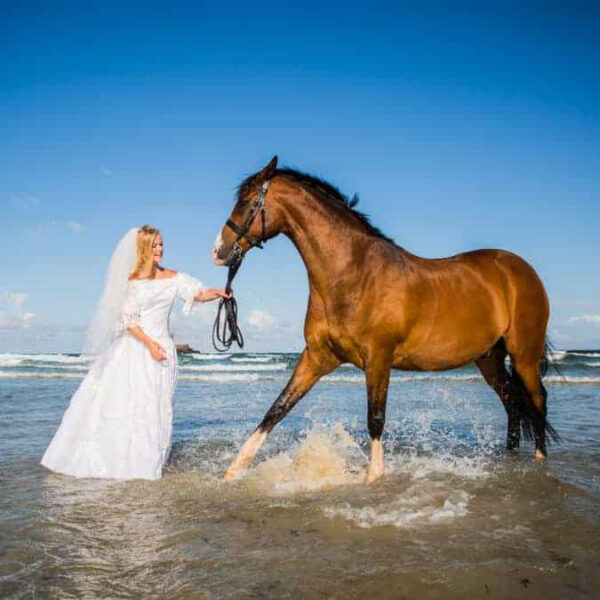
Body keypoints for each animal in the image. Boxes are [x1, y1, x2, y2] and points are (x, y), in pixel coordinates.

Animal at [212, 156, 556, 482]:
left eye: (246, 202)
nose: (219, 251)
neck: (353, 274)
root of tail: (519, 269)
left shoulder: (378, 358)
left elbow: (375, 418)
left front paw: (373, 476)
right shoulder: (317, 357)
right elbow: (277, 409)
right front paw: (233, 471)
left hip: (524, 355)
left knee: (537, 399)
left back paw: (540, 459)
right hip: (489, 359)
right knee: (512, 402)